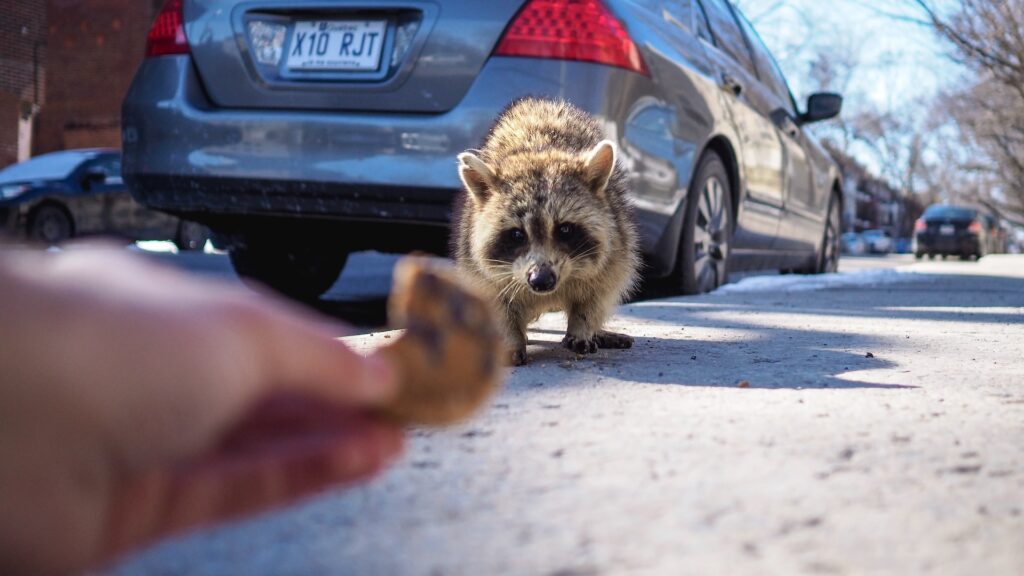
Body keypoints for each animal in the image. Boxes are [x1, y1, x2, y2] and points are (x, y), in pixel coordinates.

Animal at [452, 97, 634, 362]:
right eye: (517, 234)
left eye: (565, 229)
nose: (541, 280)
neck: (538, 148)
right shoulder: (477, 266)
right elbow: (497, 303)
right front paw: (511, 339)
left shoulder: (617, 245)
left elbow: (597, 295)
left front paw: (582, 326)